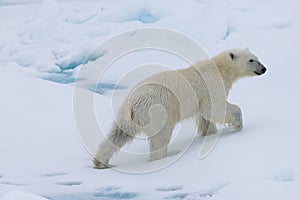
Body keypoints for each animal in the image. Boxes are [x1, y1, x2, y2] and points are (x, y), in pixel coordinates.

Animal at [92, 48, 266, 169]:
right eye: (251, 60)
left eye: (257, 58)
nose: (264, 69)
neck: (220, 68)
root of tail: (132, 103)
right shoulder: (212, 84)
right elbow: (214, 108)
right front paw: (238, 124)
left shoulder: (201, 97)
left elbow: (205, 116)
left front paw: (209, 134)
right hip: (158, 110)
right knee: (161, 136)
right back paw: (166, 156)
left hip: (128, 115)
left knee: (119, 133)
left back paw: (100, 161)